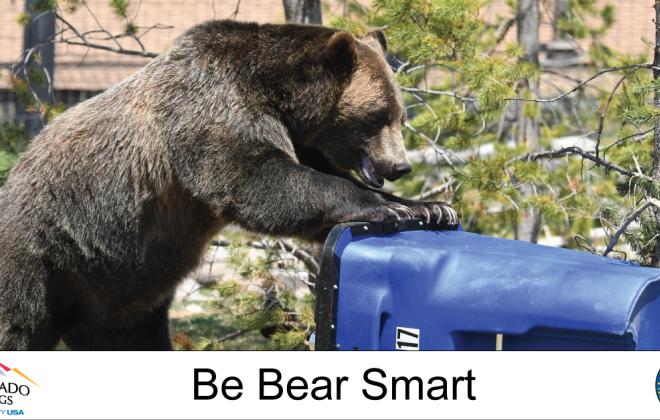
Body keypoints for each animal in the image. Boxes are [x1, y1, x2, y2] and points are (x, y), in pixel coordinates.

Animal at [0, 19, 456, 350]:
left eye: (401, 115)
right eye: (379, 115)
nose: (400, 165)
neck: (279, 97)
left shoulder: (296, 138)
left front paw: (430, 207)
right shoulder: (212, 109)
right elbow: (257, 181)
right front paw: (390, 206)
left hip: (120, 290)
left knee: (129, 339)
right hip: (42, 256)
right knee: (18, 325)